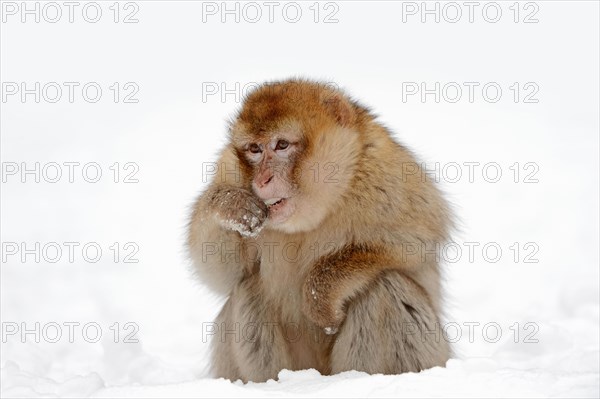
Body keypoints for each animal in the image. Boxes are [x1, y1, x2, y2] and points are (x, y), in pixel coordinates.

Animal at [185, 79, 452, 382]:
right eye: (254, 149)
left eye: (281, 145)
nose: (263, 180)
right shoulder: (229, 169)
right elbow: (223, 273)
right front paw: (231, 204)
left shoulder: (388, 176)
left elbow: (414, 240)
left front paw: (320, 297)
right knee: (247, 288)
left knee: (385, 285)